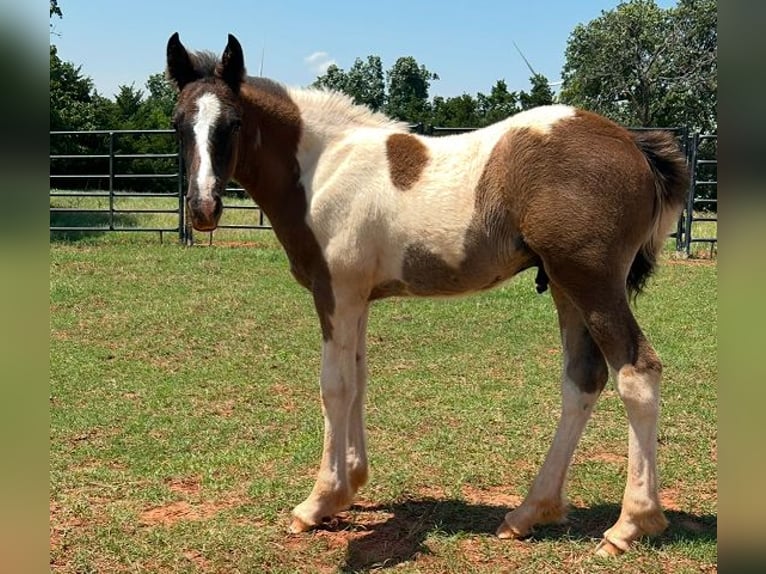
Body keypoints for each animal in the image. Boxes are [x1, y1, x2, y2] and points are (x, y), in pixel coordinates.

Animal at [166, 33, 688, 557]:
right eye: (178, 123)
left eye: (233, 123)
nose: (204, 208)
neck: (322, 167)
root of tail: (634, 145)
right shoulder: (358, 298)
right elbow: (359, 378)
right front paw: (350, 485)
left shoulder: (336, 292)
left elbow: (335, 386)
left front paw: (319, 502)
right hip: (565, 286)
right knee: (582, 379)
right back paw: (529, 513)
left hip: (592, 282)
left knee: (637, 372)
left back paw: (630, 525)